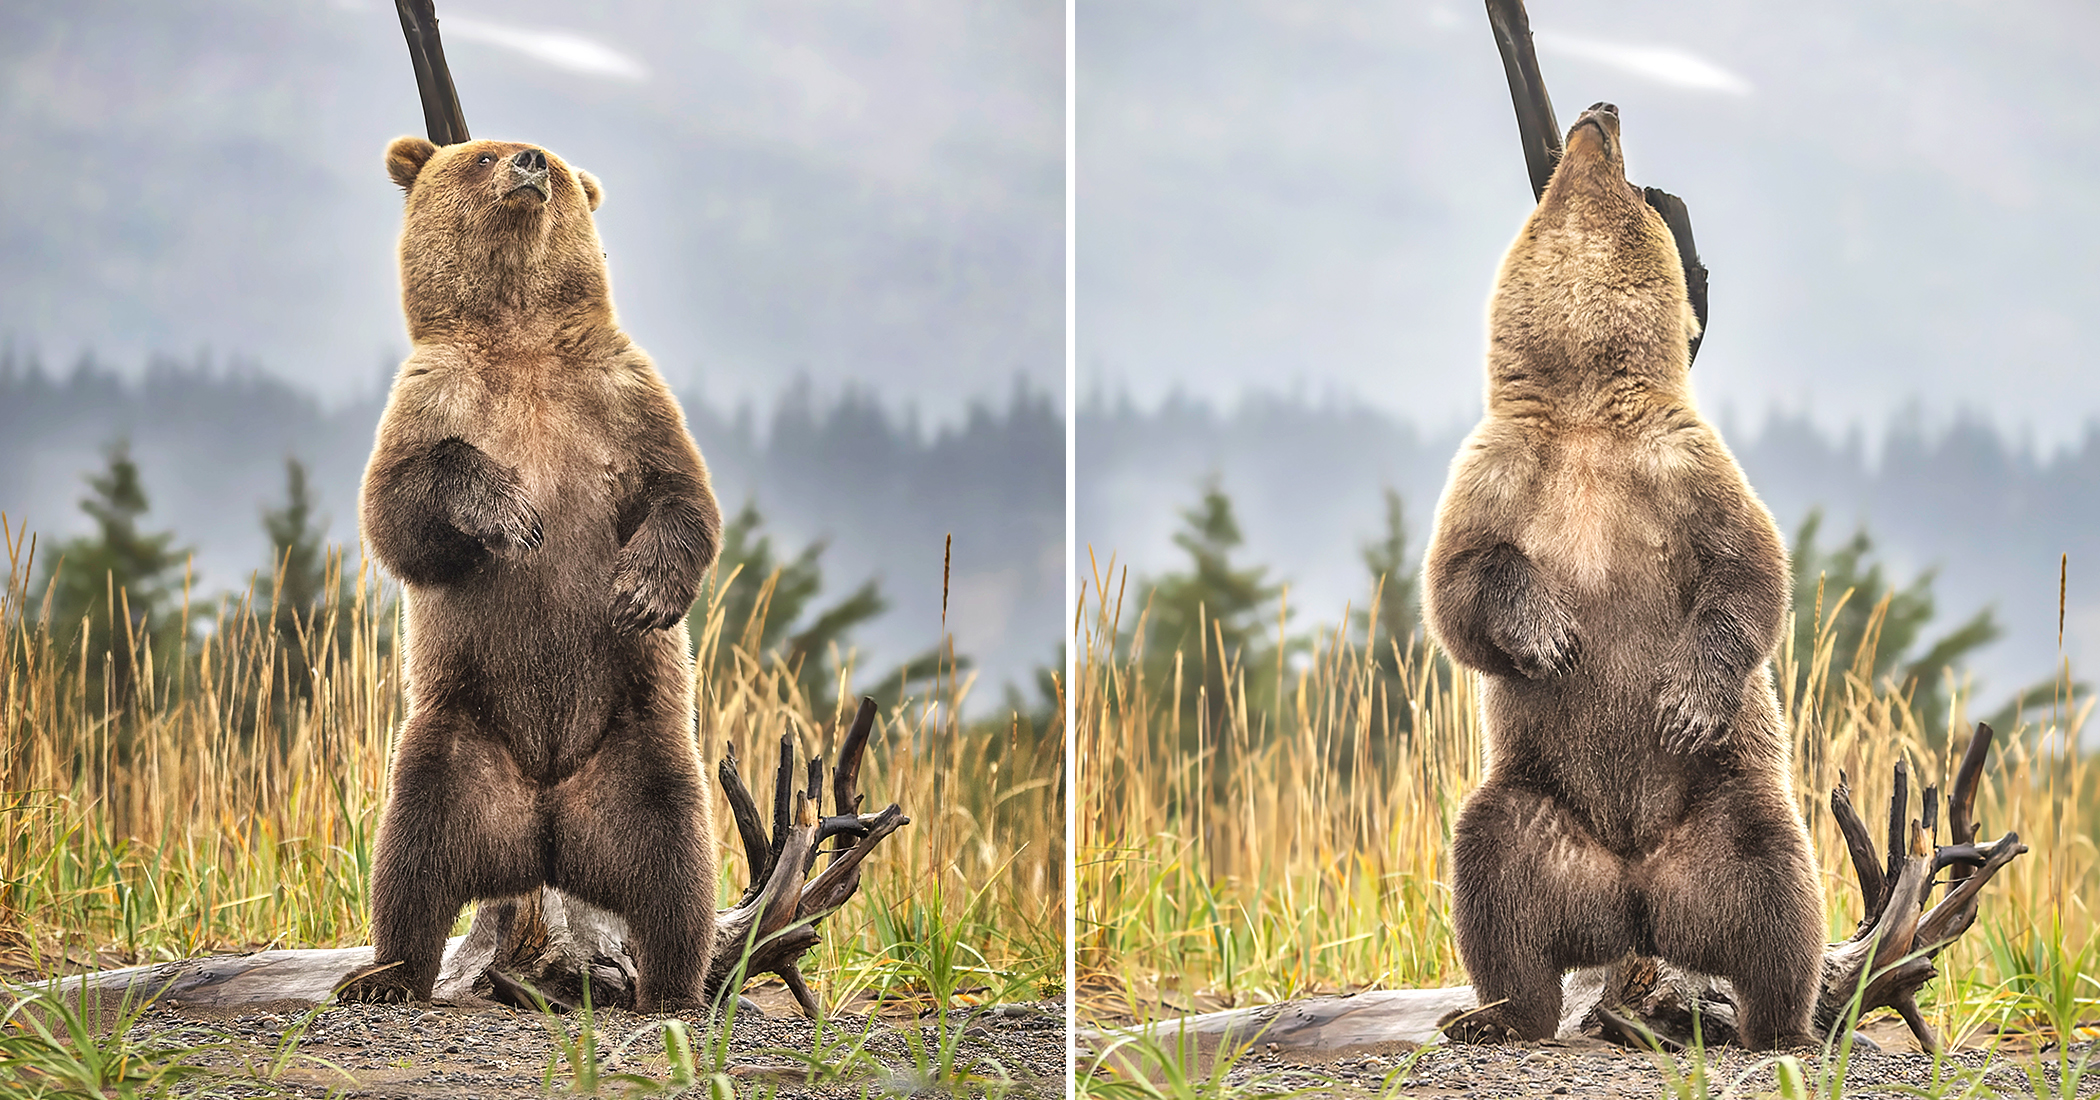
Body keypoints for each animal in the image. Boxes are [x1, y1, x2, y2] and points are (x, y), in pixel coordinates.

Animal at [340, 135, 722, 1012]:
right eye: (481, 156)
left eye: (550, 152)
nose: (529, 165)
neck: (520, 338)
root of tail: (545, 831)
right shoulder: (432, 396)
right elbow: (397, 509)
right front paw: (511, 515)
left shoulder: (624, 393)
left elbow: (683, 495)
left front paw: (640, 589)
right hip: (455, 744)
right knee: (409, 860)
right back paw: (384, 975)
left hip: (639, 748)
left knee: (676, 869)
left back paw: (673, 987)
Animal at [1421, 103, 1824, 1050]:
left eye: (1636, 183)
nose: (1599, 111)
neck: (1583, 406)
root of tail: (1637, 894)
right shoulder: (1497, 470)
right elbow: (1459, 587)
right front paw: (1551, 635)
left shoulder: (1684, 465)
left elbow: (1751, 572)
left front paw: (1682, 699)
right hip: (1537, 806)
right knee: (1494, 879)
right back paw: (1494, 1015)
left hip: (1727, 806)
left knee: (1778, 895)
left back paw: (1782, 1025)